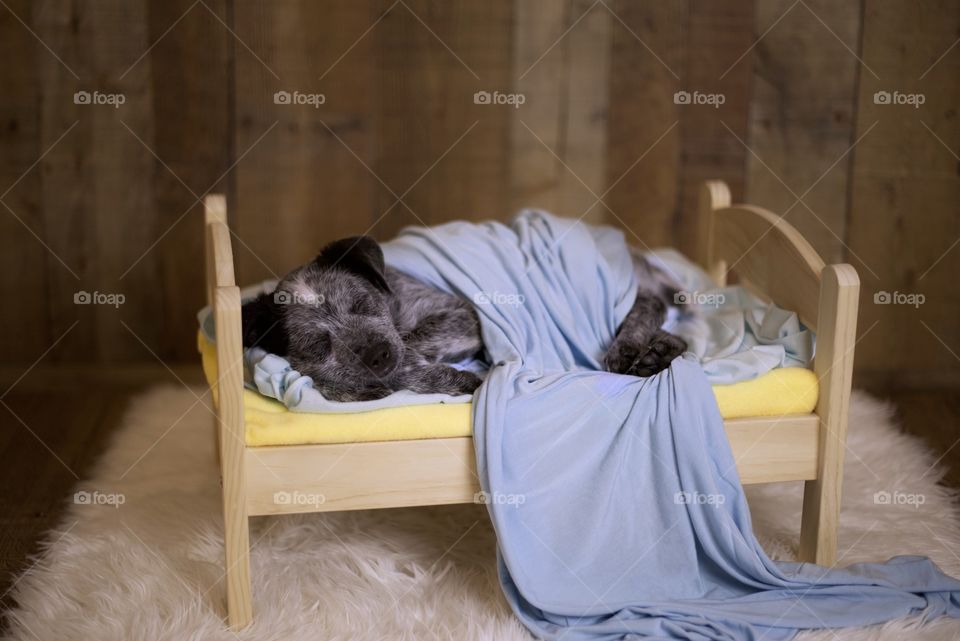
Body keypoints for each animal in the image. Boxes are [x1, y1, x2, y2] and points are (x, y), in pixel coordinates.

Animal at [240, 235, 688, 400]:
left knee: (650, 308)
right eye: (320, 344)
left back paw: (636, 351)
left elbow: (412, 349)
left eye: (362, 303)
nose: (379, 356)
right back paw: (661, 352)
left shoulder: (463, 313)